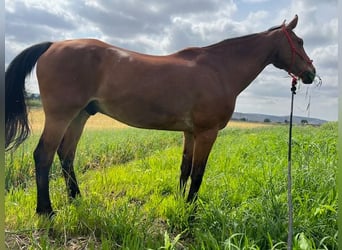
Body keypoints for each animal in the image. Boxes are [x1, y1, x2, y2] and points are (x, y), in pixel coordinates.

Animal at [5, 15, 316, 217]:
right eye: (299, 41)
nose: (311, 73)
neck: (219, 69)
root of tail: (52, 45)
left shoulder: (190, 132)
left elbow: (185, 168)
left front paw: (179, 201)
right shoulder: (207, 133)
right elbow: (199, 173)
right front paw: (191, 212)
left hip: (80, 116)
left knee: (66, 155)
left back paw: (76, 199)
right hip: (61, 115)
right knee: (44, 155)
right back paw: (46, 211)